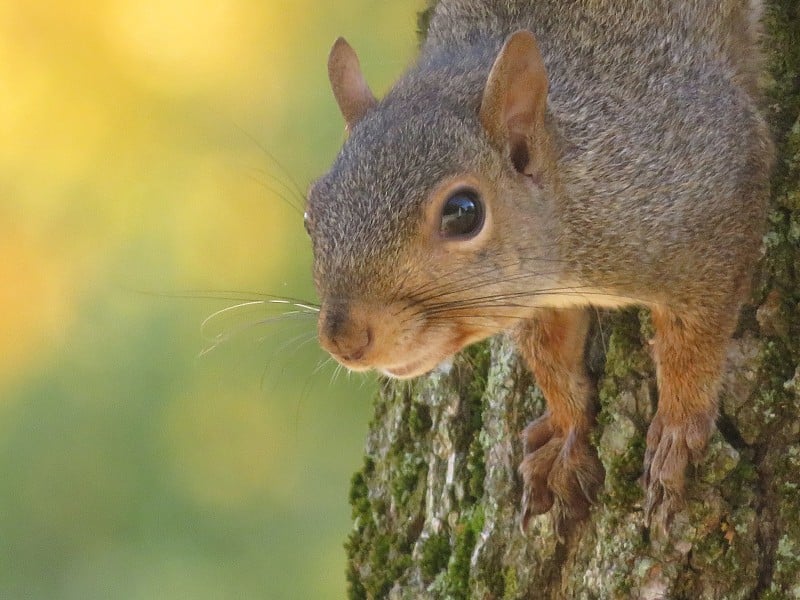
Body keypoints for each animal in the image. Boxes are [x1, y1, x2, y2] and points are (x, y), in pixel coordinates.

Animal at [302, 0, 776, 536]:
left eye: (463, 212)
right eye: (310, 215)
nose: (343, 339)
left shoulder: (711, 195)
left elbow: (692, 341)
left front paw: (678, 426)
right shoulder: (537, 300)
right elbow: (552, 359)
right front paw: (566, 435)